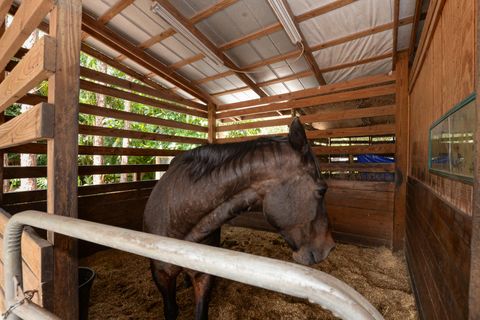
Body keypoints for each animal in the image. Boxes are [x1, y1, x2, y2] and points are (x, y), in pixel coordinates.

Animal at [144, 117, 336, 320]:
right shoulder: (161, 276)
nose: (329, 247)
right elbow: (171, 310)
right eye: (322, 190)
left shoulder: (204, 276)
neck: (179, 216)